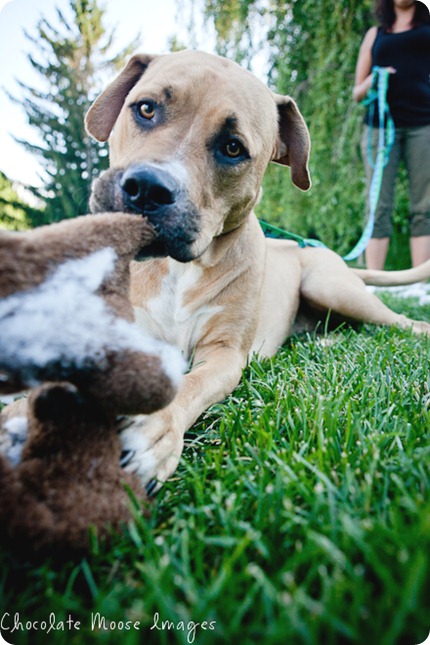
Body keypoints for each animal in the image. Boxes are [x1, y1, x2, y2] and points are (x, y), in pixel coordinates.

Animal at [5, 51, 428, 488]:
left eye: (232, 147)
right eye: (145, 109)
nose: (147, 188)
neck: (178, 269)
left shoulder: (224, 355)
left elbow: (191, 384)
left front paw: (154, 430)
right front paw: (25, 414)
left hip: (331, 287)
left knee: (403, 323)